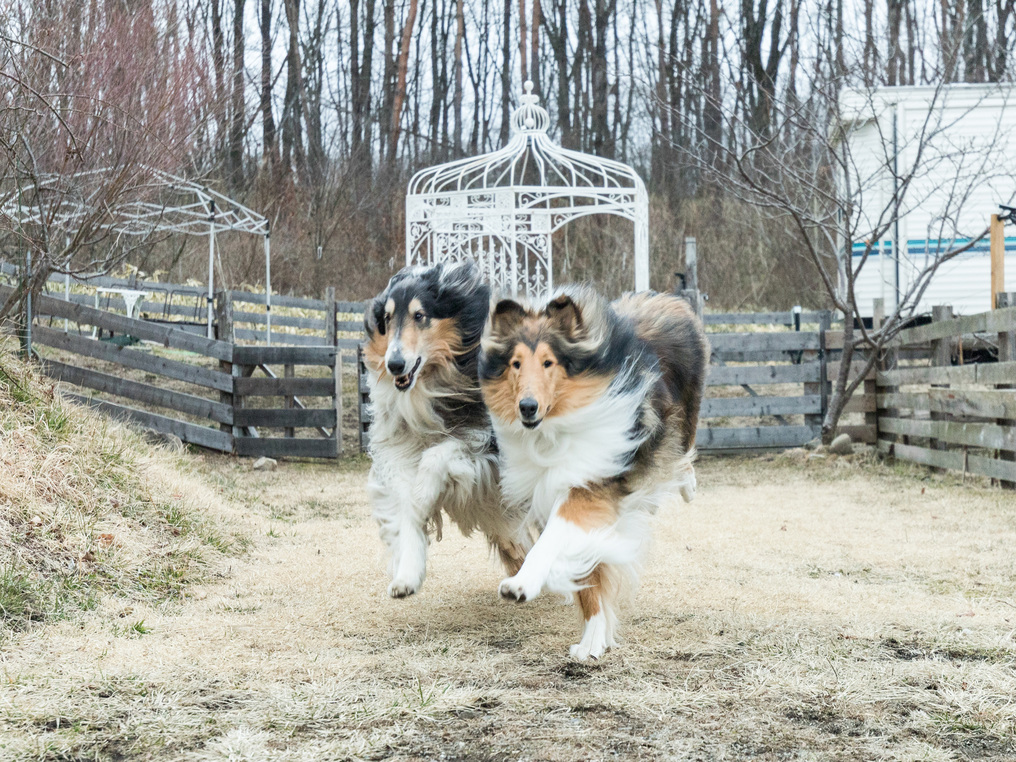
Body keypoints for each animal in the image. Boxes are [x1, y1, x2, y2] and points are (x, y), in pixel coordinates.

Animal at [361, 260, 528, 601]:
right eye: (386, 318)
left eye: (420, 315)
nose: (394, 364)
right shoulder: (400, 449)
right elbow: (405, 510)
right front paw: (407, 576)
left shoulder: (486, 441)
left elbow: (439, 455)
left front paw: (424, 494)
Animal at [481, 286, 707, 662]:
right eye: (515, 364)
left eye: (549, 362)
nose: (527, 407)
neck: (556, 429)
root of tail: (664, 298)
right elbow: (591, 572)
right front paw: (593, 637)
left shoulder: (588, 484)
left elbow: (552, 539)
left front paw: (522, 583)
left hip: (685, 413)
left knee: (683, 448)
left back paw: (686, 484)